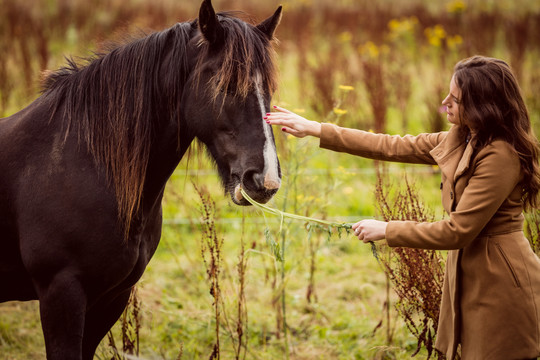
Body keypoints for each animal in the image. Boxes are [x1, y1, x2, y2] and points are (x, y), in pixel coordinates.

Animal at [0, 1, 284, 358]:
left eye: (268, 90)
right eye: (226, 84)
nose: (265, 179)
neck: (81, 162)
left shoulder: (111, 298)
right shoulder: (60, 293)